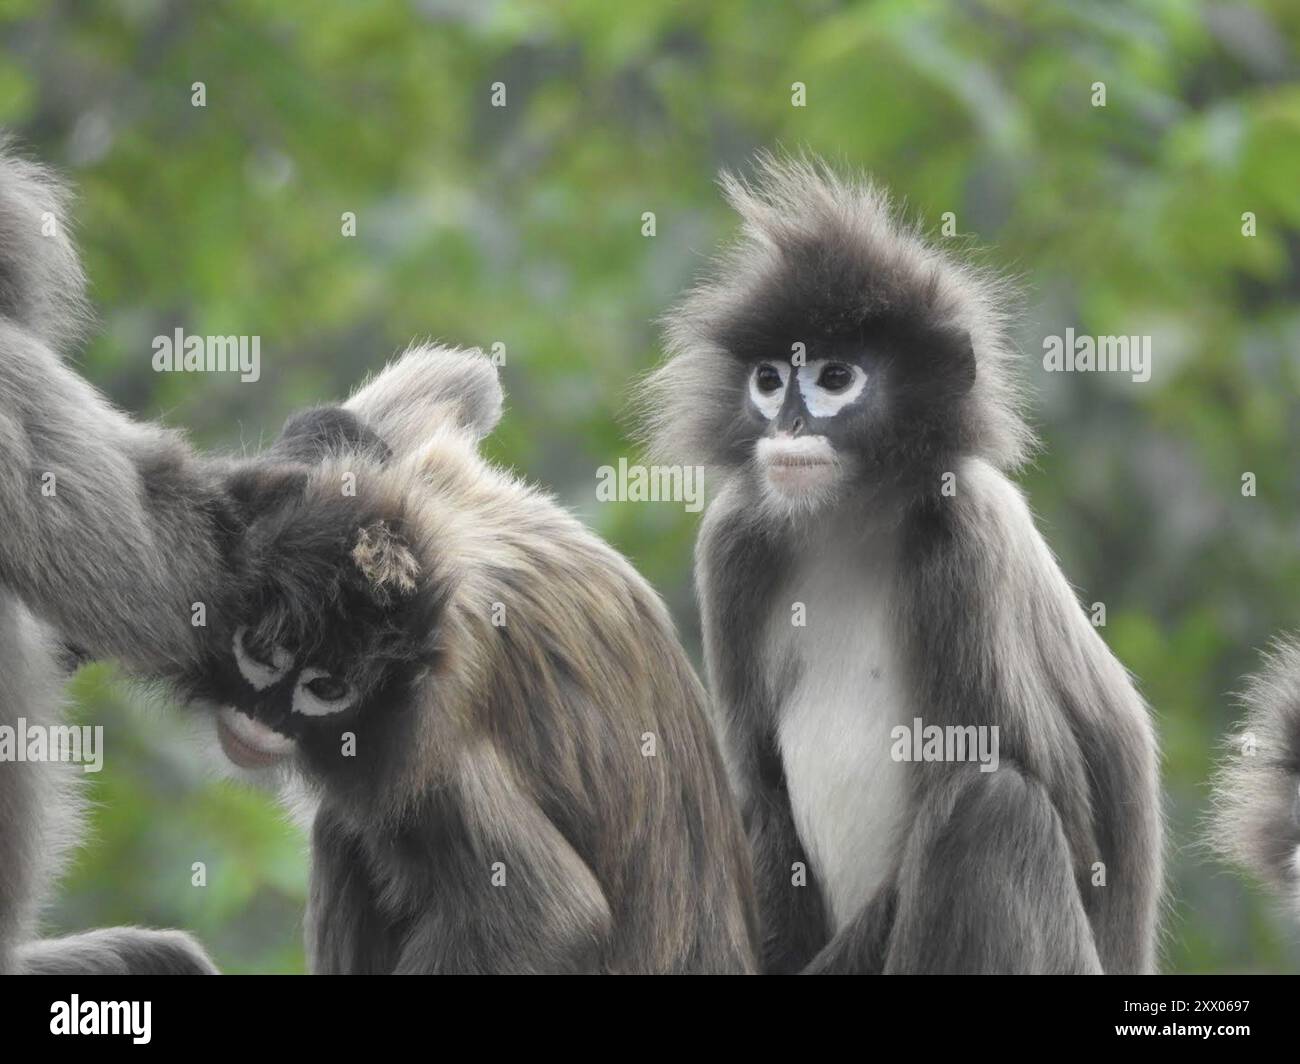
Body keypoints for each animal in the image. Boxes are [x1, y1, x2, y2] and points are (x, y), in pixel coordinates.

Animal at [172, 344, 760, 974]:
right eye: (261, 655)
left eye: (325, 690)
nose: (262, 721)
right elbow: (465, 379)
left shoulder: (433, 727)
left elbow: (553, 916)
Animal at [638, 154, 1164, 974]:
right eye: (768, 380)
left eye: (834, 378)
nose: (789, 425)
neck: (851, 522)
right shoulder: (734, 543)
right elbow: (763, 797)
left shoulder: (965, 543)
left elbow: (1075, 836)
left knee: (994, 808)